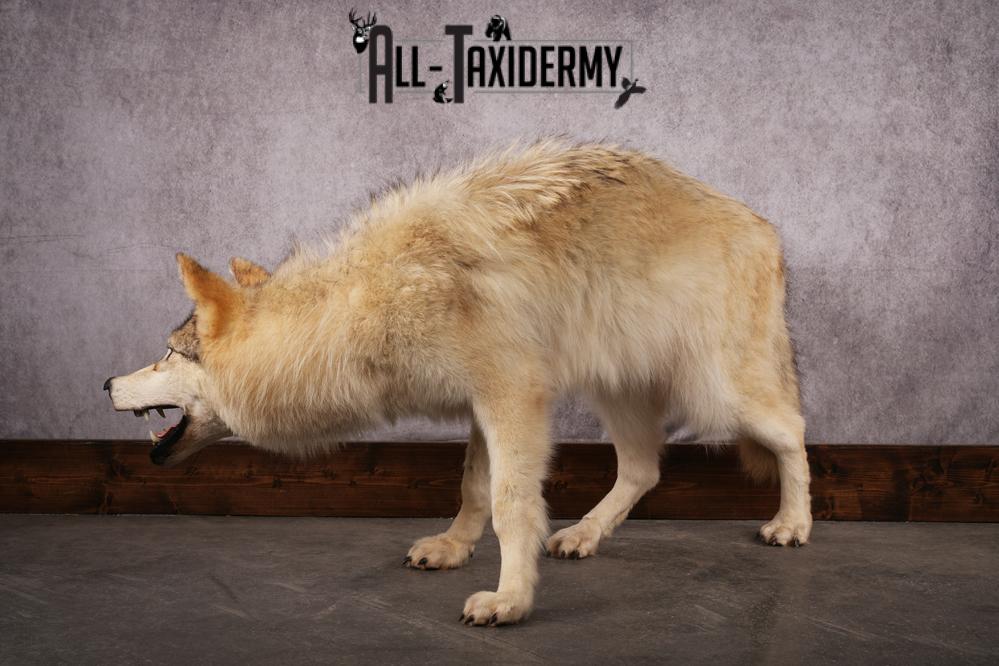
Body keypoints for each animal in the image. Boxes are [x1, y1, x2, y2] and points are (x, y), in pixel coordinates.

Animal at [104, 140, 811, 626]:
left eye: (167, 354)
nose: (107, 381)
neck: (365, 303)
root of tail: (764, 226)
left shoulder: (513, 398)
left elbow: (509, 503)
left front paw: (511, 599)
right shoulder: (482, 403)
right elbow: (473, 487)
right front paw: (452, 547)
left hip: (718, 392)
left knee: (792, 431)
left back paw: (792, 524)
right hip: (617, 392)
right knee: (645, 468)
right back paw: (583, 536)